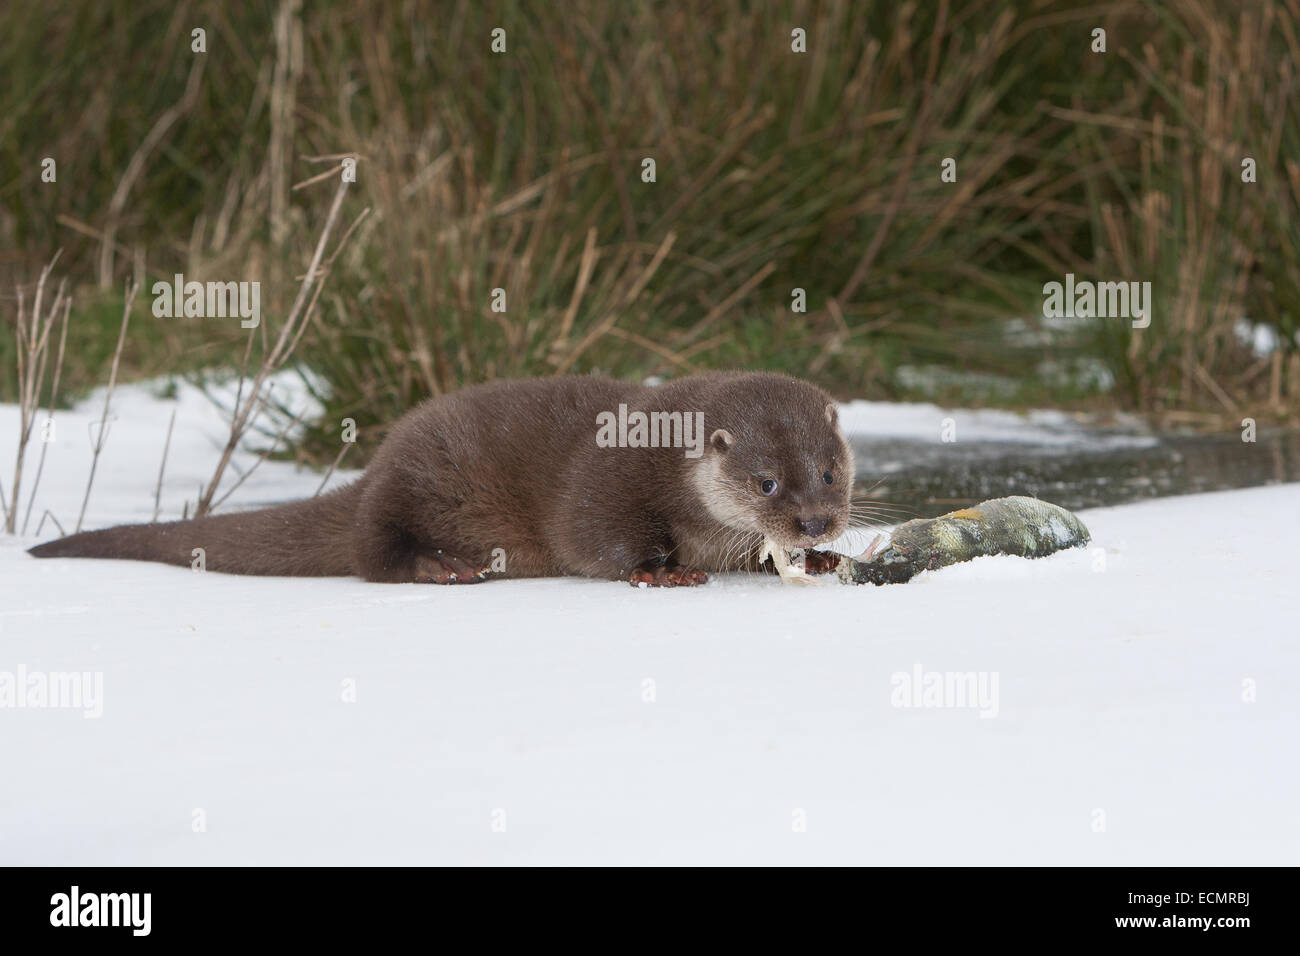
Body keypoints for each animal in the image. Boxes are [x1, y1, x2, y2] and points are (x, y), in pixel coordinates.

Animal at [27, 372, 853, 586]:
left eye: (830, 471)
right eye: (766, 482)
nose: (816, 520)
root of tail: (373, 467)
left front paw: (820, 559)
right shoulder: (610, 481)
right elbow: (593, 537)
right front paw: (661, 572)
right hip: (416, 479)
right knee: (371, 553)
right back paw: (441, 567)